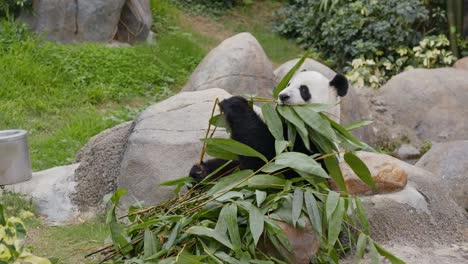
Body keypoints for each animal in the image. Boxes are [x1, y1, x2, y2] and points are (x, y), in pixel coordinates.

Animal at [189, 70, 348, 183]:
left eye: (304, 90)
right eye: (288, 84)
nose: (283, 96)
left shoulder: (312, 152)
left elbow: (264, 162)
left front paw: (235, 103)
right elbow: (233, 162)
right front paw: (201, 171)